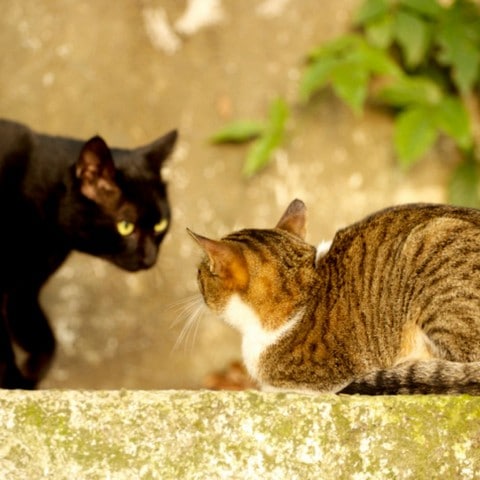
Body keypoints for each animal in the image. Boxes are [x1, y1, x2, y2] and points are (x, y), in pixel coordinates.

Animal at [0, 118, 177, 388]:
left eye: (160, 225)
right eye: (126, 226)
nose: (150, 258)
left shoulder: (24, 289)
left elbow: (44, 340)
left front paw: (25, 378)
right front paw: (15, 380)